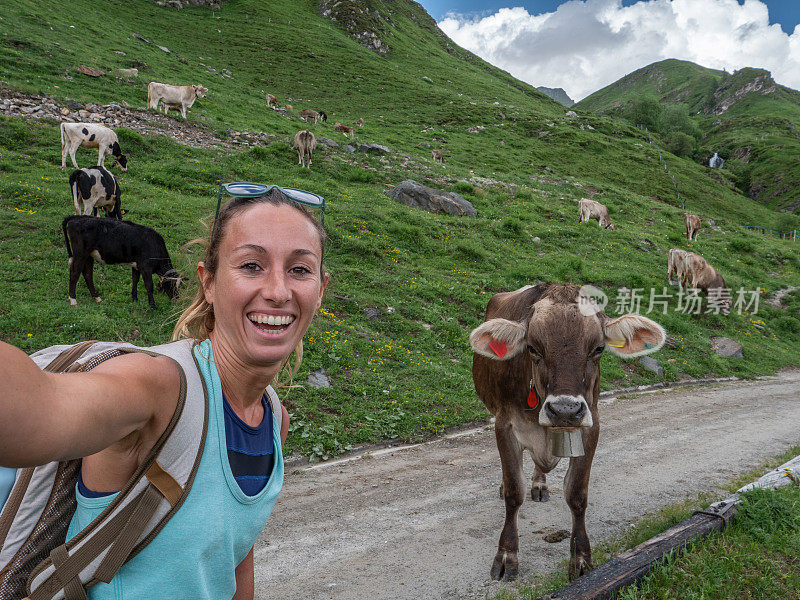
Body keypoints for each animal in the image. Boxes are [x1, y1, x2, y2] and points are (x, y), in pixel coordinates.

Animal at [472, 284, 664, 580]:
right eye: (532, 348)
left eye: (598, 348)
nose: (564, 409)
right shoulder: (504, 425)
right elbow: (515, 492)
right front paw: (506, 555)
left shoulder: (591, 426)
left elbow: (577, 494)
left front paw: (582, 559)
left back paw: (539, 483)